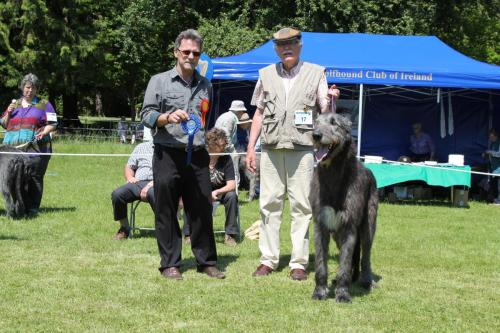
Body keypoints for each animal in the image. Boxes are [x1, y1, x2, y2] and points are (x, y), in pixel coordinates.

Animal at [310, 113, 376, 302]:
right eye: (315, 123)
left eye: (334, 123)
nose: (316, 135)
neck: (332, 173)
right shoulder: (320, 225)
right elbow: (321, 263)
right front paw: (320, 290)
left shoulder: (349, 226)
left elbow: (345, 263)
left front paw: (342, 293)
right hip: (336, 235)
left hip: (368, 225)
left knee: (365, 255)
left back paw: (366, 280)